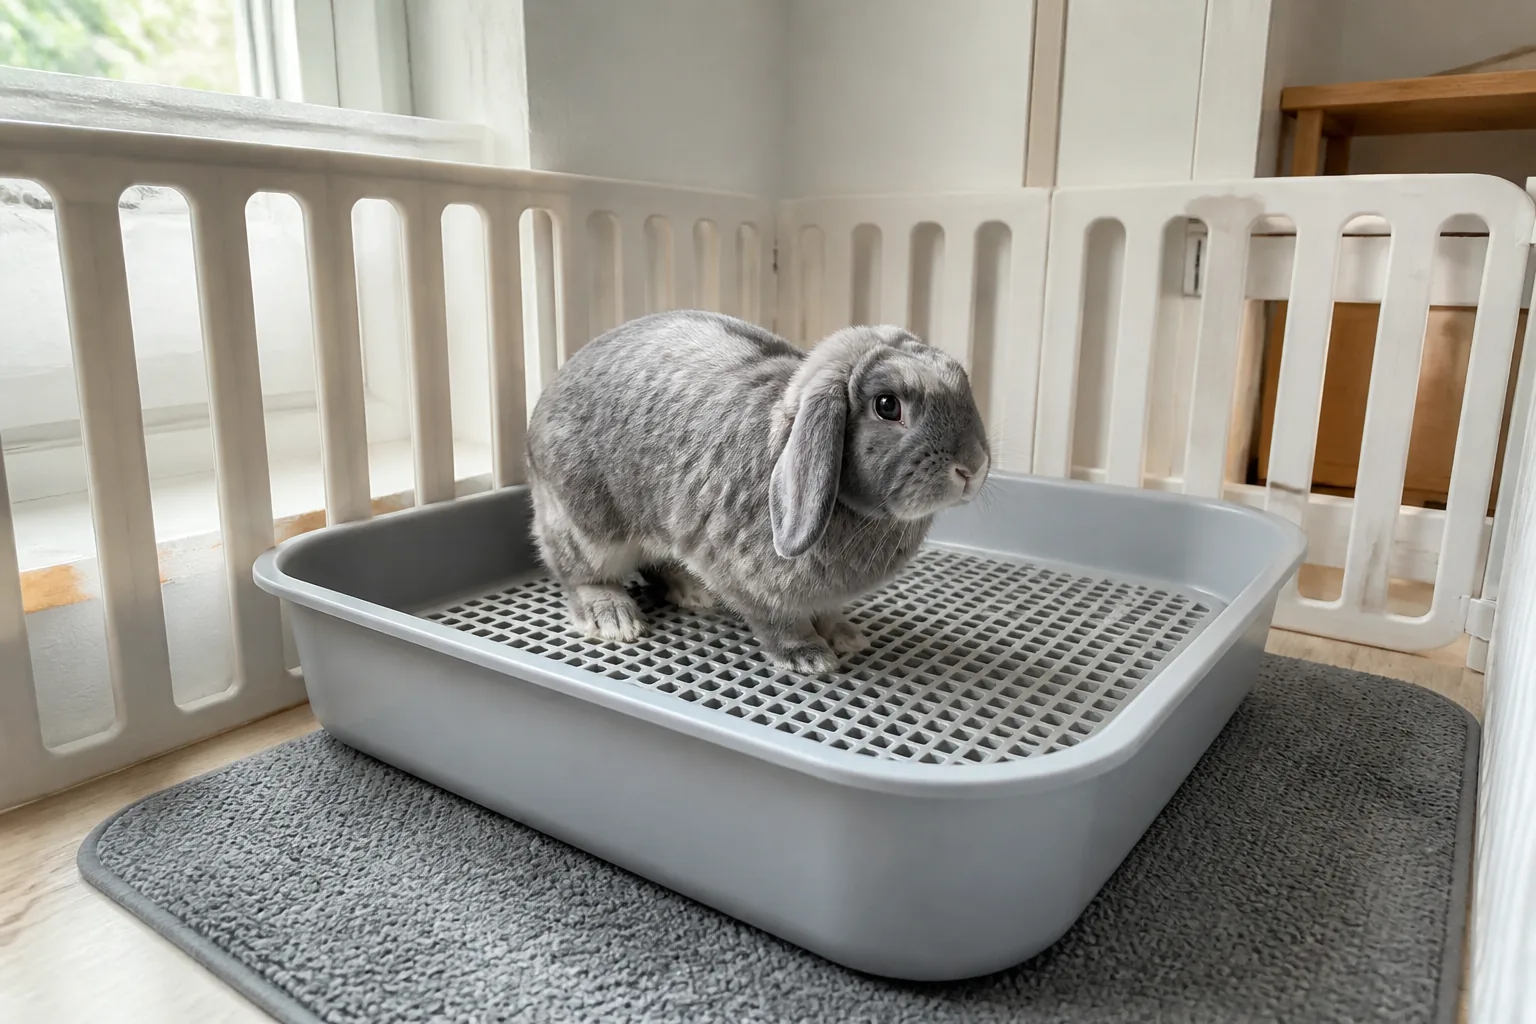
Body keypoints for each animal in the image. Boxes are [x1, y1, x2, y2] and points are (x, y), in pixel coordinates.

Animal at [525, 310, 991, 675]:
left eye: (963, 382)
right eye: (888, 405)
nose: (973, 467)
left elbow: (828, 613)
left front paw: (846, 636)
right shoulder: (753, 582)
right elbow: (778, 623)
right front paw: (809, 656)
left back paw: (693, 592)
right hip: (585, 526)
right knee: (580, 575)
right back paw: (614, 618)